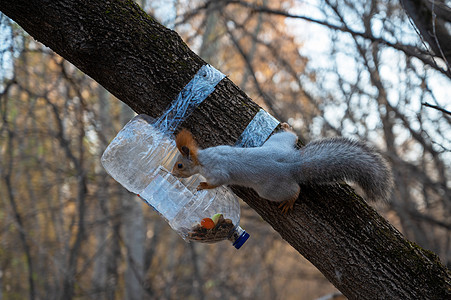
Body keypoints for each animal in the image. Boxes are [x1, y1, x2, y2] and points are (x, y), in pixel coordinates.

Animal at [171, 123, 394, 213]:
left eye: (180, 165)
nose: (173, 173)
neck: (203, 158)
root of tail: (293, 163)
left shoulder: (218, 170)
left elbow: (219, 181)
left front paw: (203, 186)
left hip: (270, 190)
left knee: (295, 190)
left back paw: (289, 201)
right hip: (278, 142)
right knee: (289, 136)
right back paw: (287, 127)